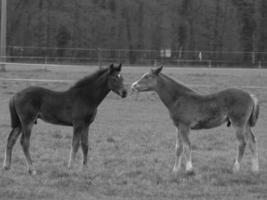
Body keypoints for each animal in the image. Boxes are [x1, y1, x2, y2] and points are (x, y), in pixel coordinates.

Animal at [132, 66, 260, 175]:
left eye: (148, 76)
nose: (133, 86)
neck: (178, 99)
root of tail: (250, 95)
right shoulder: (178, 126)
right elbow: (178, 148)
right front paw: (175, 170)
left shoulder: (184, 126)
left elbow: (187, 146)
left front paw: (189, 170)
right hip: (246, 124)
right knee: (252, 141)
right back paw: (255, 169)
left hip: (238, 123)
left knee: (242, 142)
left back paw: (236, 168)